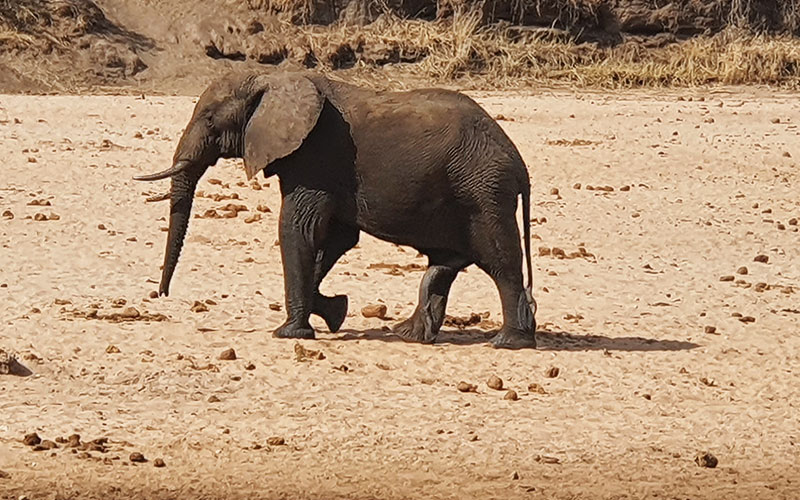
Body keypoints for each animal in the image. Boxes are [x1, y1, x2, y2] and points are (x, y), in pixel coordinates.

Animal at [136, 71, 536, 348]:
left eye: (208, 120)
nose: (162, 294)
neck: (272, 78)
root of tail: (519, 164)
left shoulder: (316, 158)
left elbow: (298, 229)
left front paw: (289, 333)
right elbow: (335, 238)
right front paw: (334, 312)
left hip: (483, 192)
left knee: (500, 262)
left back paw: (509, 342)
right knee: (443, 266)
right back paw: (410, 334)